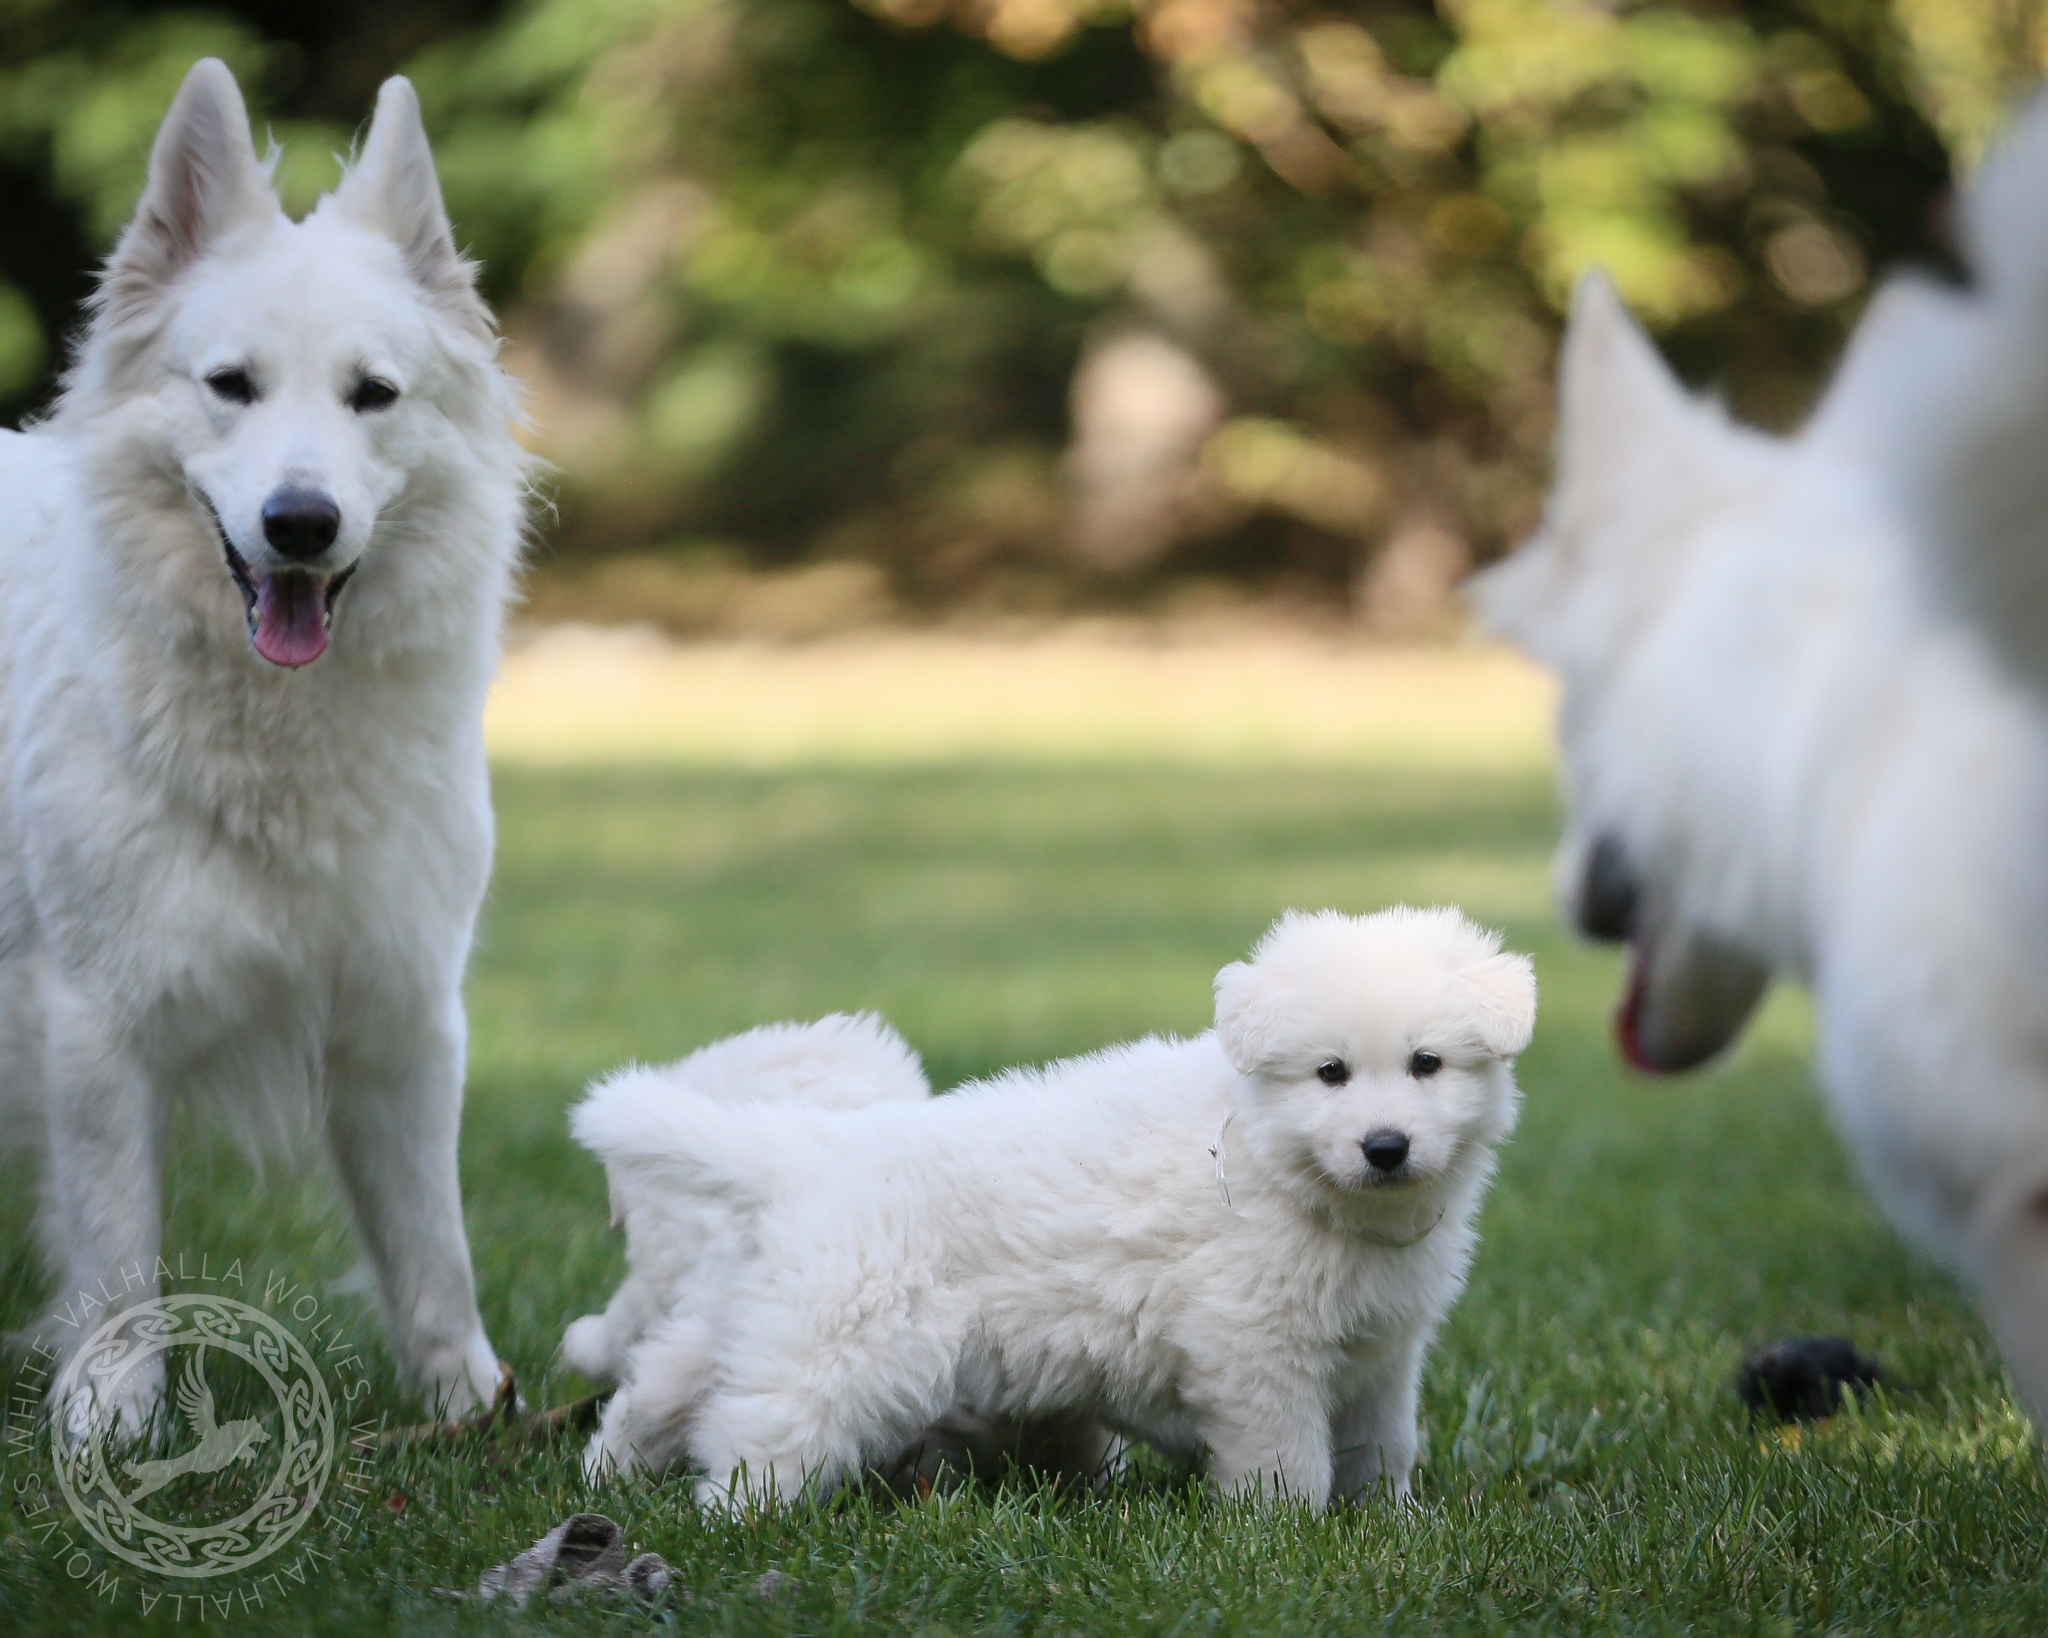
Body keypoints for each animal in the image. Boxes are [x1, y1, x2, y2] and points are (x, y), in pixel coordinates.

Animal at [2, 59, 528, 1433]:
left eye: (372, 396)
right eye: (231, 385)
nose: (301, 523)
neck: (276, 731)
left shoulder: (402, 1015)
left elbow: (433, 1244)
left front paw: (472, 1409)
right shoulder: (97, 1026)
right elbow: (118, 1244)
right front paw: (114, 1416)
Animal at [571, 907, 1534, 1508]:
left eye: (1427, 1064)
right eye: (1331, 1072)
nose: (1386, 1147)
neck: (1274, 1160)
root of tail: (801, 1154)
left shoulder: (1383, 1351)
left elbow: (1382, 1445)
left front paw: (1387, 1523)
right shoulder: (1256, 1351)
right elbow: (1287, 1459)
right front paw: (1287, 1539)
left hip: (753, 1315)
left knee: (662, 1386)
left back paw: (610, 1473)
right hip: (840, 1348)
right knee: (757, 1433)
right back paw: (736, 1519)